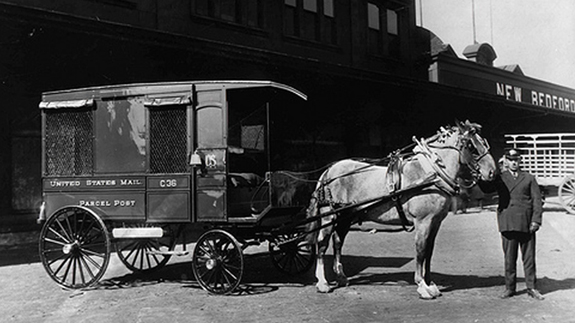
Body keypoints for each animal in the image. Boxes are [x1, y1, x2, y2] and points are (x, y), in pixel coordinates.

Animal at [306, 122, 500, 302]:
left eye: (483, 142)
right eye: (471, 146)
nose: (492, 173)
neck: (431, 173)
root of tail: (328, 171)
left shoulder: (435, 222)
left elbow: (429, 252)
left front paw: (430, 284)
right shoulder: (423, 222)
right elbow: (421, 250)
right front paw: (422, 286)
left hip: (345, 218)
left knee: (338, 242)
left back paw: (341, 277)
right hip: (329, 216)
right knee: (322, 244)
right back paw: (322, 283)